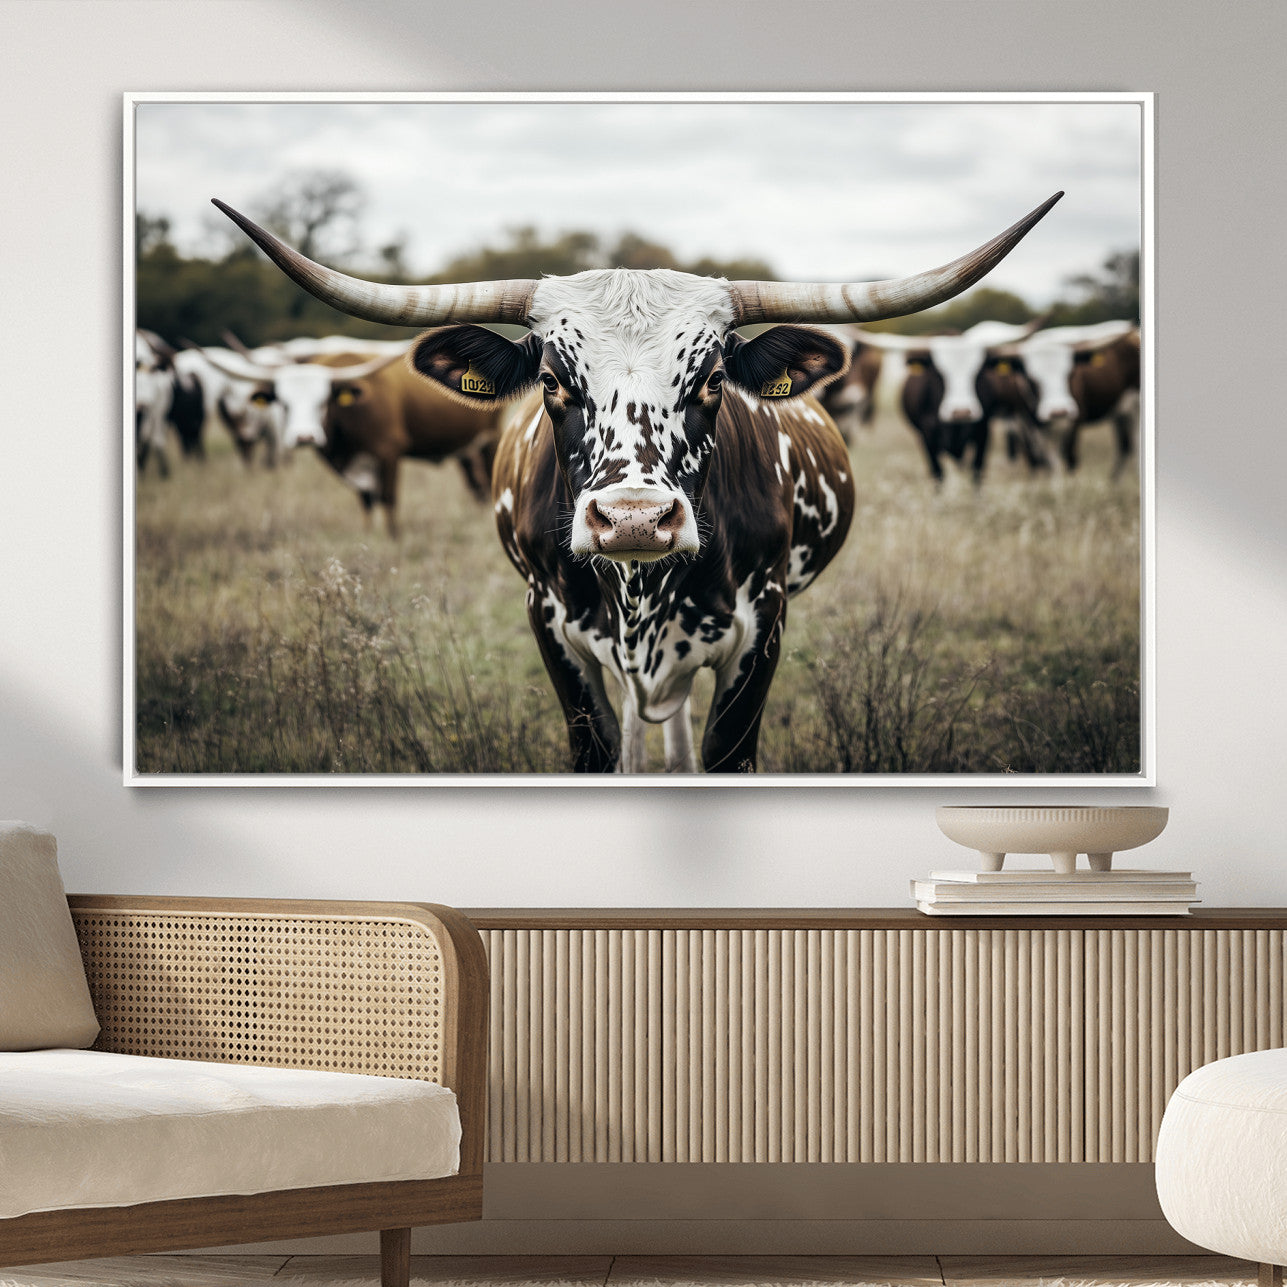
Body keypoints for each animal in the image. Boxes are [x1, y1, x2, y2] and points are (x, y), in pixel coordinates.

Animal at [197, 343, 507, 533]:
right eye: (283, 403)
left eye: (323, 401)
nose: (304, 437)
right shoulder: (354, 466)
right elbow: (366, 501)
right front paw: (370, 536)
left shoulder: (388, 454)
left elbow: (388, 499)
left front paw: (394, 538)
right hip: (465, 447)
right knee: (475, 483)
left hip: (490, 441)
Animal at [1014, 321, 1140, 476]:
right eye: (1031, 379)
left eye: (1070, 374)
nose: (1058, 411)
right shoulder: (1031, 427)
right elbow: (1049, 462)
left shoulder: (1074, 422)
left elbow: (1069, 459)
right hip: (1121, 413)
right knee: (1125, 445)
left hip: (1136, 408)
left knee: (1135, 443)